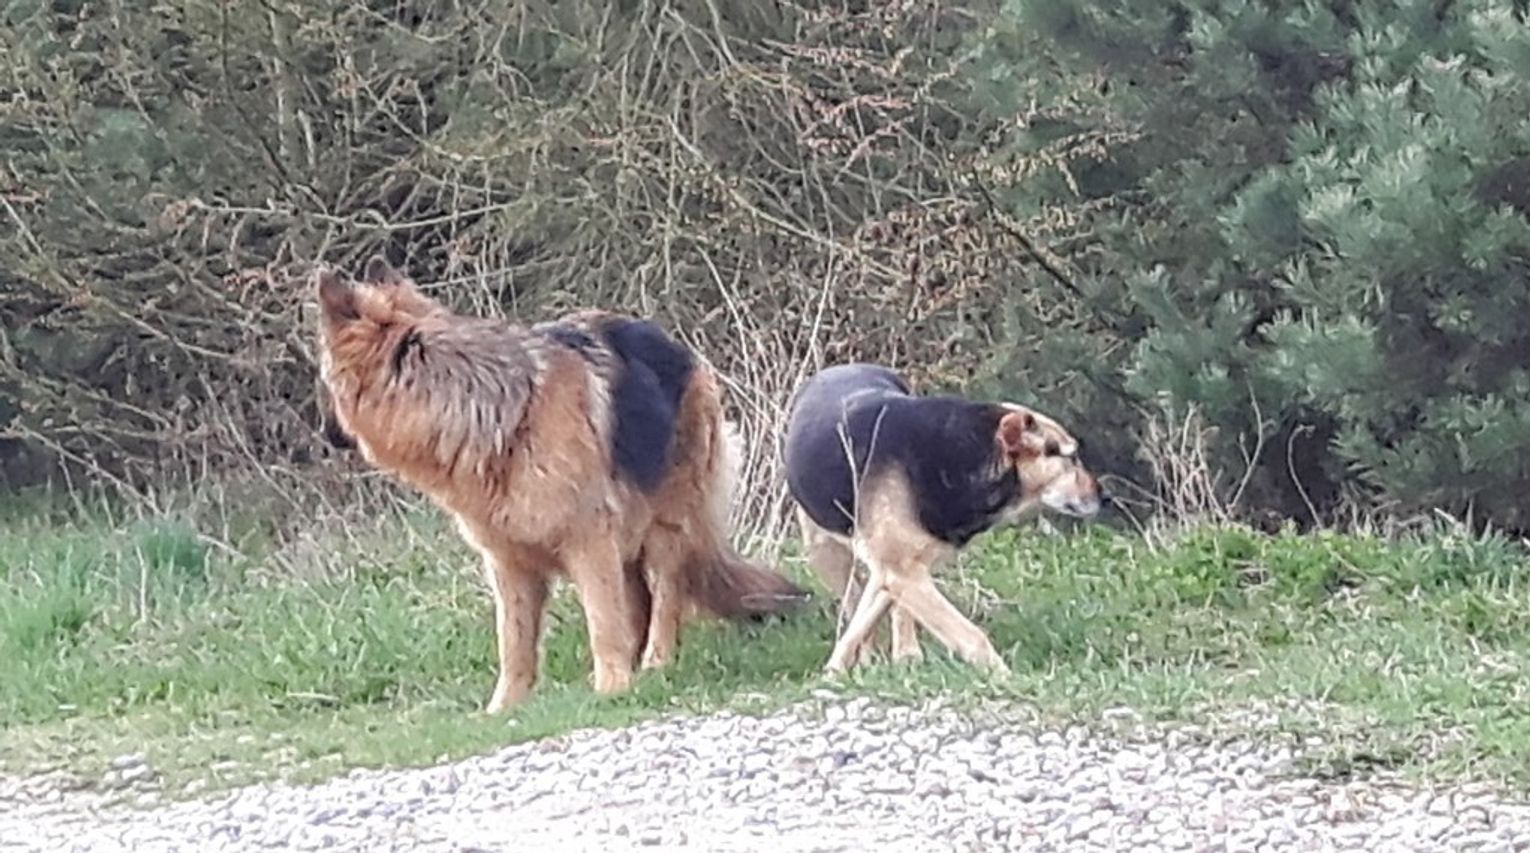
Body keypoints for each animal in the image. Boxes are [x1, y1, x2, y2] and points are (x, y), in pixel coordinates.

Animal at [314, 258, 806, 712]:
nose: (323, 436)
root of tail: (676, 347)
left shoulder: (589, 542)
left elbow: (602, 623)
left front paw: (612, 688)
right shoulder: (509, 564)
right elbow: (514, 643)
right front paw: (504, 708)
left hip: (665, 527)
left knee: (666, 597)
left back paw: (654, 661)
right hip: (626, 544)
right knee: (639, 602)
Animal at [783, 363, 1106, 675]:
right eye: (1070, 458)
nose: (1106, 496)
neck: (964, 453)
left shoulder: (903, 565)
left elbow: (878, 611)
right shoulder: (901, 569)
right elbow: (971, 635)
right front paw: (1004, 677)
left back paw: (897, 655)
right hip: (826, 551)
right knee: (855, 601)